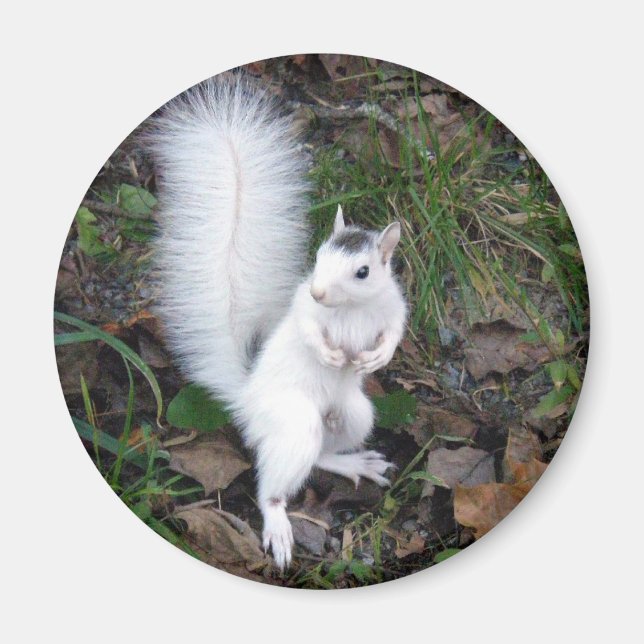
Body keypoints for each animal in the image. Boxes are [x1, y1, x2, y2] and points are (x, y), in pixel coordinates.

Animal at [148, 76, 408, 570]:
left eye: (363, 271)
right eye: (319, 257)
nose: (319, 292)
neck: (350, 310)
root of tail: (247, 401)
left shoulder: (393, 308)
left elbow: (394, 333)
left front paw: (376, 358)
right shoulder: (303, 310)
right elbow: (307, 329)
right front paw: (328, 353)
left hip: (354, 414)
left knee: (323, 454)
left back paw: (353, 463)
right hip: (294, 422)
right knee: (273, 486)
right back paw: (279, 525)